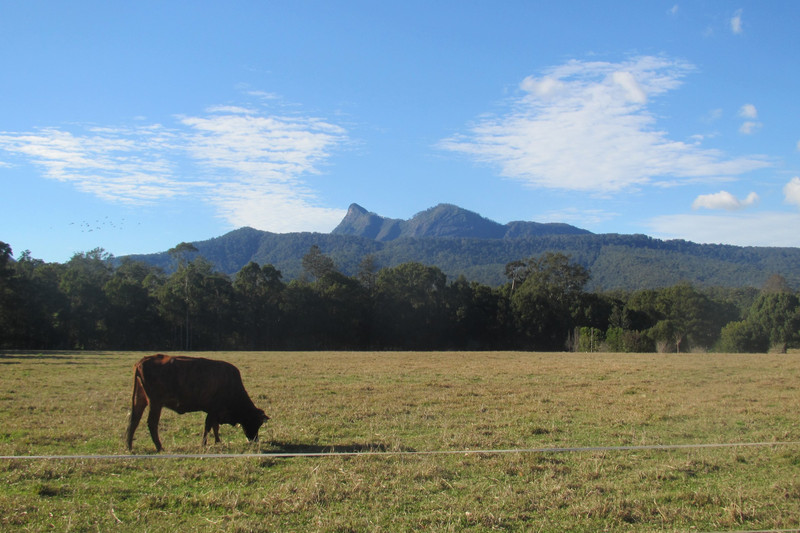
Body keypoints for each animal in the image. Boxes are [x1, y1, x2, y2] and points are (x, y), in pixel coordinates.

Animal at [124, 354, 268, 448]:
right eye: (256, 422)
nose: (255, 440)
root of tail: (142, 360)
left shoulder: (214, 412)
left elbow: (214, 426)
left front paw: (217, 441)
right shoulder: (213, 410)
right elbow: (208, 426)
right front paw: (204, 444)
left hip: (140, 400)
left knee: (134, 420)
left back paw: (129, 447)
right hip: (155, 403)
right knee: (152, 423)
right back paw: (159, 447)